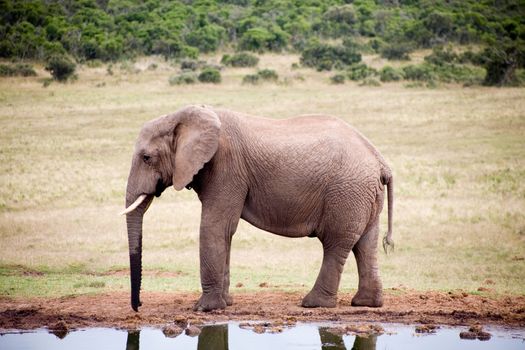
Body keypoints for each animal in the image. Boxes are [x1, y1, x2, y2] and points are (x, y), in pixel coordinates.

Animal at [122, 104, 392, 312]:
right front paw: (227, 303)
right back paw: (365, 303)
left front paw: (205, 308)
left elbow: (215, 227)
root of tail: (380, 161)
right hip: (362, 194)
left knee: (336, 243)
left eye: (146, 158)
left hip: (347, 191)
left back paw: (314, 304)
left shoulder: (226, 168)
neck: (185, 115)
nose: (139, 305)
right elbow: (225, 231)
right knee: (366, 244)